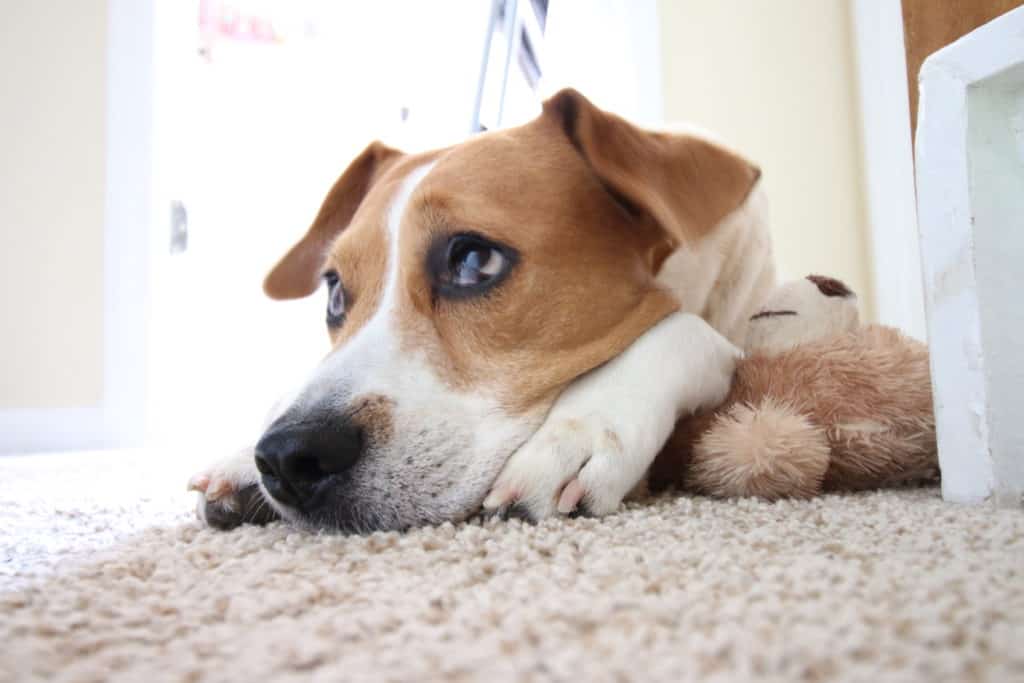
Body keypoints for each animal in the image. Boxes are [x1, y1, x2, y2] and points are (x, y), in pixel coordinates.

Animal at [186, 87, 774, 532]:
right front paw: (241, 458)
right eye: (334, 294)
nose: (286, 456)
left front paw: (577, 432)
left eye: (473, 260)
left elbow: (682, 327)